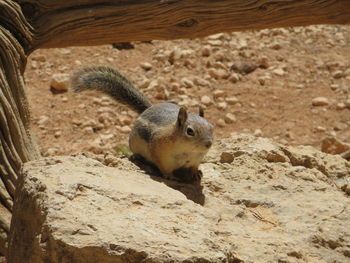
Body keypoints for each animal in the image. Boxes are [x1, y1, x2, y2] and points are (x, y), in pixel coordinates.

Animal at [71, 66, 213, 183]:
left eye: (212, 127)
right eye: (190, 131)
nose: (208, 144)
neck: (189, 151)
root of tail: (147, 109)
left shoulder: (196, 159)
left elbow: (194, 167)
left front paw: (196, 174)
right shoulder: (161, 153)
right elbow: (164, 167)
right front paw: (170, 176)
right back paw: (137, 157)